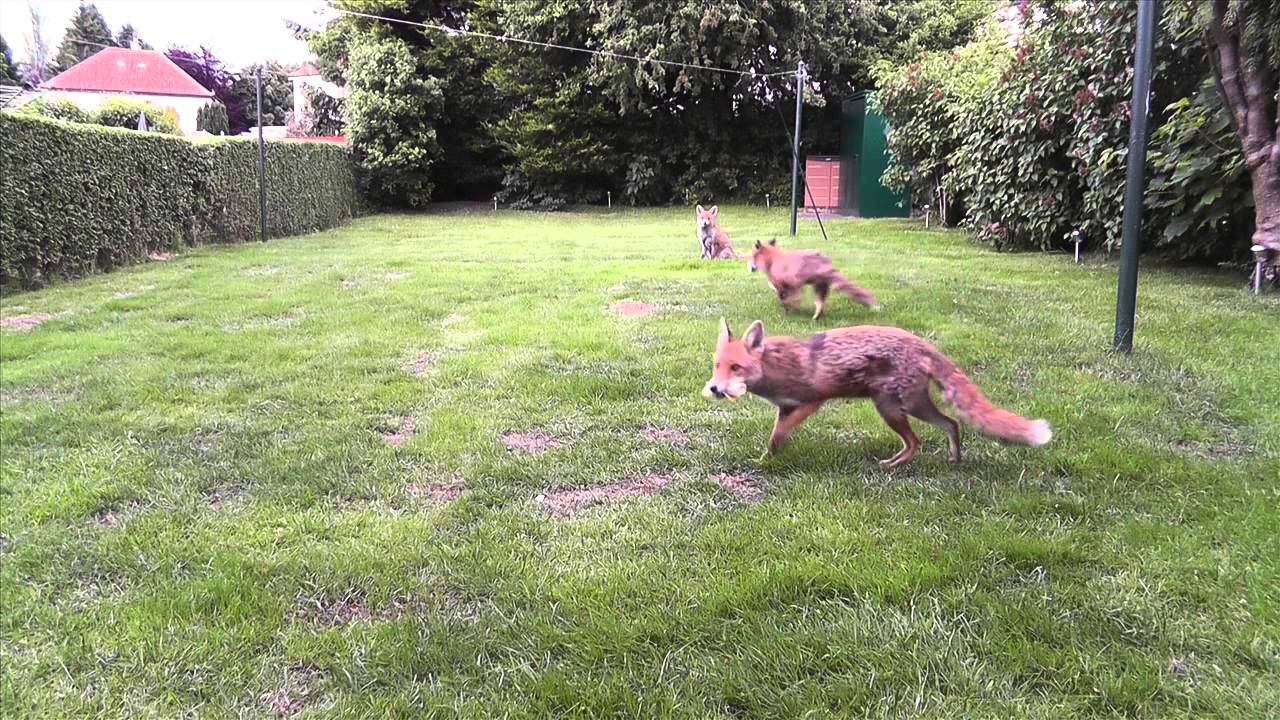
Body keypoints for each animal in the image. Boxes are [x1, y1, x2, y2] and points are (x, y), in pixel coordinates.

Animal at [702, 318, 1051, 467]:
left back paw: (892, 465)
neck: (776, 368)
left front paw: (770, 458)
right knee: (952, 424)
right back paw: (954, 459)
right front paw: (768, 457)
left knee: (918, 441)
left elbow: (779, 433)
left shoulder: (812, 400)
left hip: (892, 408)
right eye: (717, 366)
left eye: (736, 367)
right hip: (911, 406)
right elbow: (776, 435)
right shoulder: (785, 407)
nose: (715, 388)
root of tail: (921, 342)